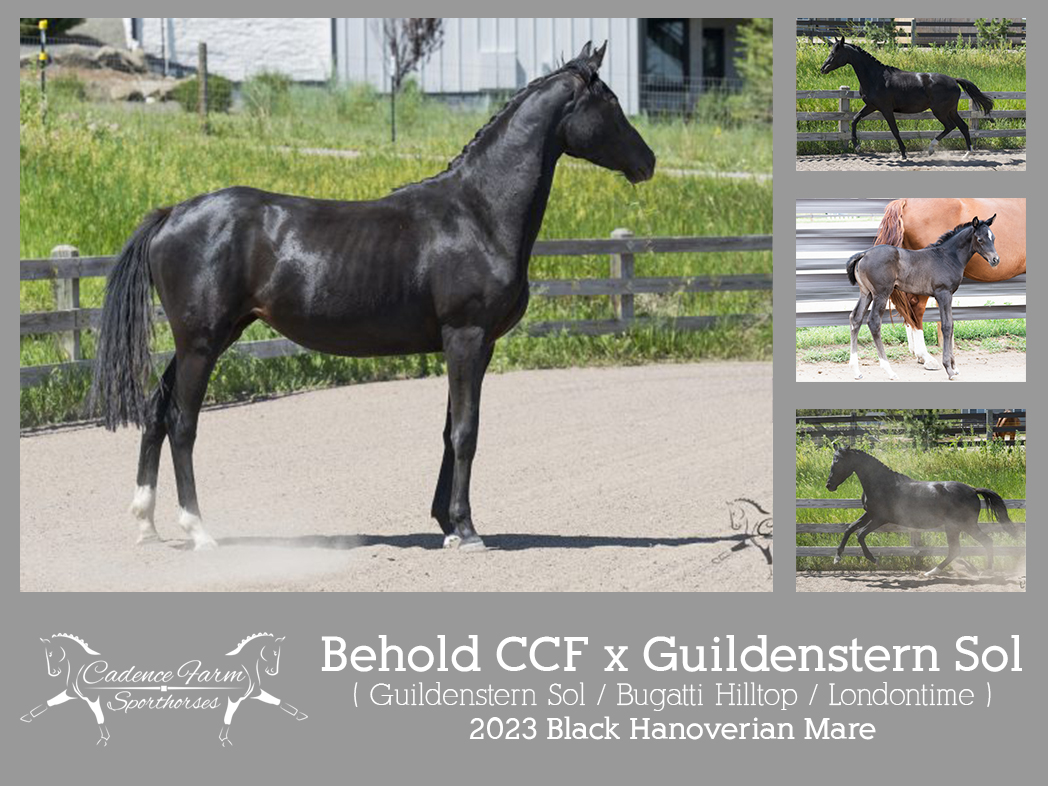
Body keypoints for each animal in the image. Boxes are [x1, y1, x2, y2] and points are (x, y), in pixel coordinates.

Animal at [88, 42, 655, 552]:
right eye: (610, 104)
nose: (648, 161)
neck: (477, 213)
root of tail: (172, 214)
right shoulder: (466, 338)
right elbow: (466, 431)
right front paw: (467, 531)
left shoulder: (471, 345)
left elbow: (448, 430)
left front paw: (447, 525)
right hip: (201, 344)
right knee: (181, 423)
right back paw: (199, 531)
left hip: (212, 338)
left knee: (155, 413)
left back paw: (146, 526)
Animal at [819, 36, 994, 158]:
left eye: (834, 53)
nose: (823, 68)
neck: (876, 77)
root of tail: (954, 80)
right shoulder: (871, 106)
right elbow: (855, 119)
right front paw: (856, 146)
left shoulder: (886, 109)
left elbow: (895, 130)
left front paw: (903, 154)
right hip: (950, 110)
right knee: (962, 126)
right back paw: (965, 153)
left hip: (940, 111)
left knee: (951, 126)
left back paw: (933, 149)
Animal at [825, 447, 1019, 576]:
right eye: (833, 461)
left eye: (838, 462)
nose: (829, 486)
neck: (882, 484)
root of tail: (972, 489)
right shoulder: (869, 514)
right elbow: (849, 529)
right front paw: (837, 557)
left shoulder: (880, 518)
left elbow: (860, 535)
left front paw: (874, 559)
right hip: (955, 527)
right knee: (956, 550)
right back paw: (931, 572)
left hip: (962, 525)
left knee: (984, 542)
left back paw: (986, 571)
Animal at [845, 215, 999, 380]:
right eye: (980, 239)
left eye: (993, 238)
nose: (995, 260)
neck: (947, 257)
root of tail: (864, 254)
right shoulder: (943, 294)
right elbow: (946, 326)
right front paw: (949, 369)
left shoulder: (948, 295)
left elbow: (951, 325)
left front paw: (954, 367)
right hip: (881, 293)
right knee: (873, 322)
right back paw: (889, 371)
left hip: (866, 293)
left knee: (855, 318)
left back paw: (856, 370)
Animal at [876, 198, 1026, 371]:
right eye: (980, 239)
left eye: (993, 238)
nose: (995, 260)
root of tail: (903, 201)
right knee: (915, 308)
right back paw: (926, 357)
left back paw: (916, 353)